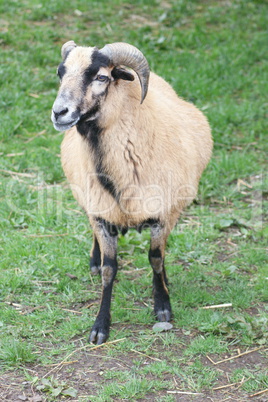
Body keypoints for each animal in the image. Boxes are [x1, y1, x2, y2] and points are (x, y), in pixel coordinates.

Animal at [51, 40, 213, 344]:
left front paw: (162, 305)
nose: (59, 112)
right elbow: (109, 269)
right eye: (61, 73)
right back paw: (94, 260)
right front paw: (100, 326)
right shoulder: (101, 214)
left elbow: (156, 259)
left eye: (102, 77)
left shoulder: (164, 214)